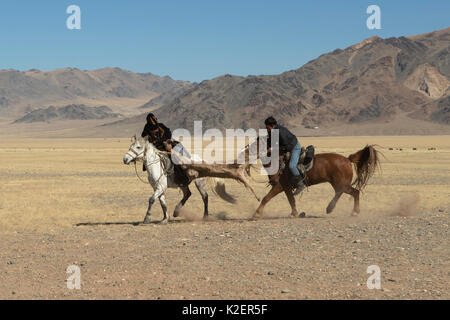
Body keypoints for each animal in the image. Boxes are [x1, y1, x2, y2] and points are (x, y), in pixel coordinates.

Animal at [241, 138, 382, 218]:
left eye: (255, 145)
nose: (244, 152)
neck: (278, 162)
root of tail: (347, 159)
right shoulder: (286, 187)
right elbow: (291, 200)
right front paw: (294, 213)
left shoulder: (280, 185)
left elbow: (266, 198)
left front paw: (257, 213)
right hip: (338, 184)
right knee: (343, 192)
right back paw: (331, 208)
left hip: (340, 183)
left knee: (353, 192)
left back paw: (348, 211)